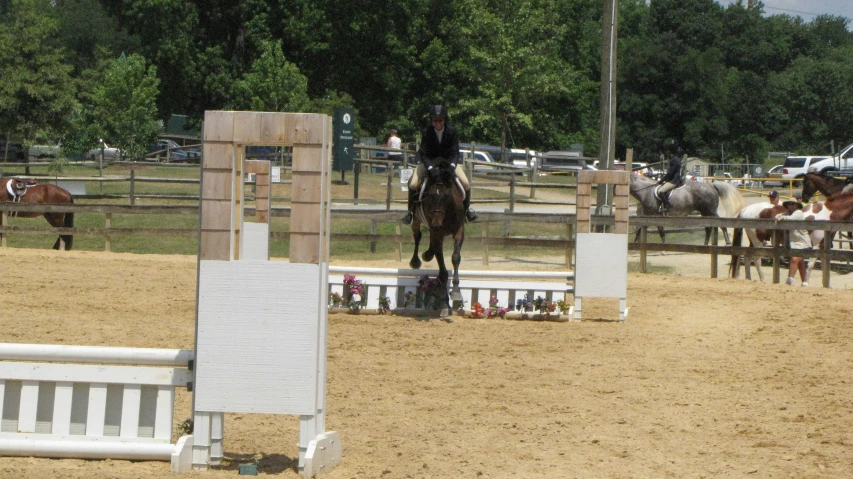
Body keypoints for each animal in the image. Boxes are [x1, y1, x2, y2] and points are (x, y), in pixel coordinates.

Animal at [408, 161, 466, 318]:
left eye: (447, 196)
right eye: (428, 197)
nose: (436, 224)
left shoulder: (459, 230)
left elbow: (456, 257)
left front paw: (456, 291)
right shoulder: (437, 234)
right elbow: (443, 272)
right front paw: (445, 305)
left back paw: (428, 254)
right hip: (417, 220)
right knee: (417, 235)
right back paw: (416, 261)